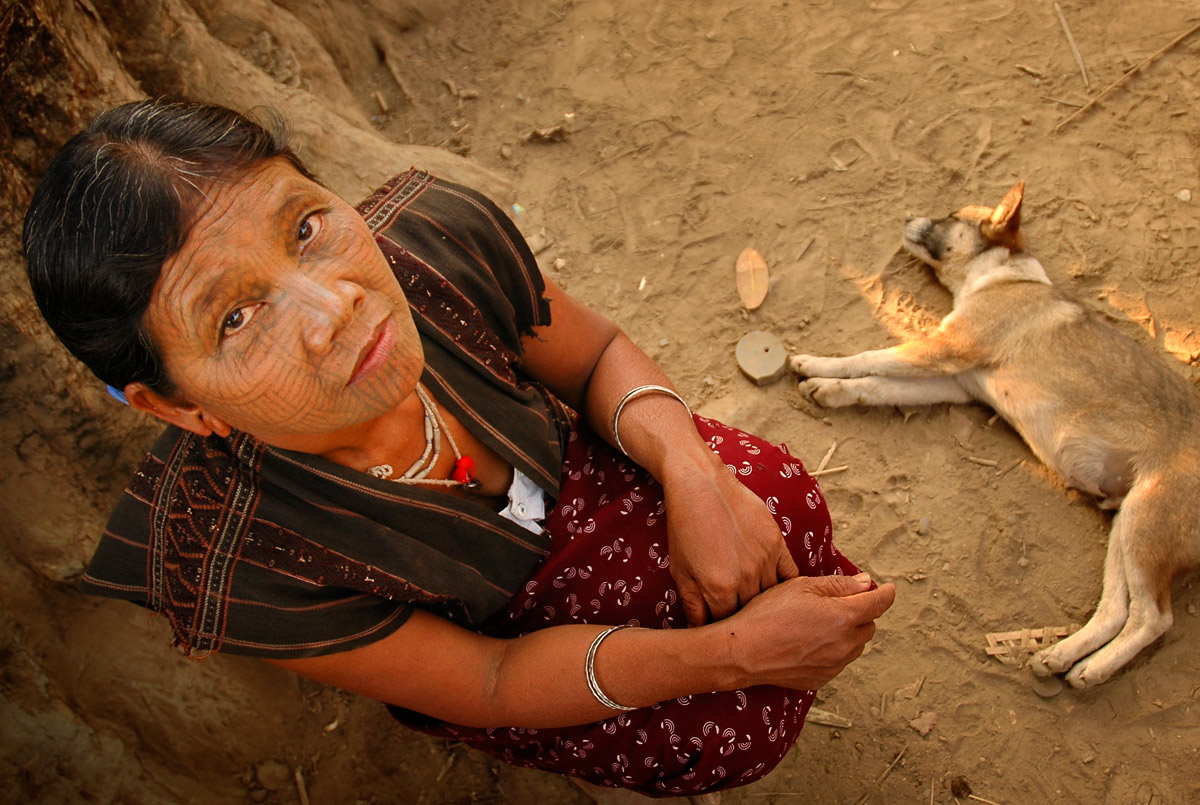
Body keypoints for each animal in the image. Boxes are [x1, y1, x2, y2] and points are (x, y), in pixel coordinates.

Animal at [787, 181, 1200, 686]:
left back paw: (1093, 671)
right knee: (1116, 611)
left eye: (950, 216)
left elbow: (868, 356)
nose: (906, 216)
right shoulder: (955, 381)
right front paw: (832, 390)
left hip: (1146, 526)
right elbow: (877, 385)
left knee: (1152, 618)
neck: (1001, 278)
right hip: (1126, 527)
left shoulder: (945, 349)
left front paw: (815, 363)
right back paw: (1060, 657)